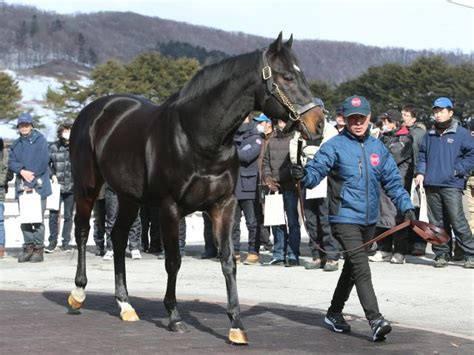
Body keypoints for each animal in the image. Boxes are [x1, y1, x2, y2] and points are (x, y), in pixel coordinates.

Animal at [67, 33, 322, 344]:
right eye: (286, 77)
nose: (318, 123)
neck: (198, 137)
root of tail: (95, 111)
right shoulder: (170, 207)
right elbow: (173, 261)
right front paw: (174, 317)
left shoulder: (224, 206)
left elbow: (228, 260)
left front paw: (236, 325)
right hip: (87, 187)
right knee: (81, 232)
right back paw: (78, 293)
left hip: (129, 197)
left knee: (117, 237)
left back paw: (125, 304)